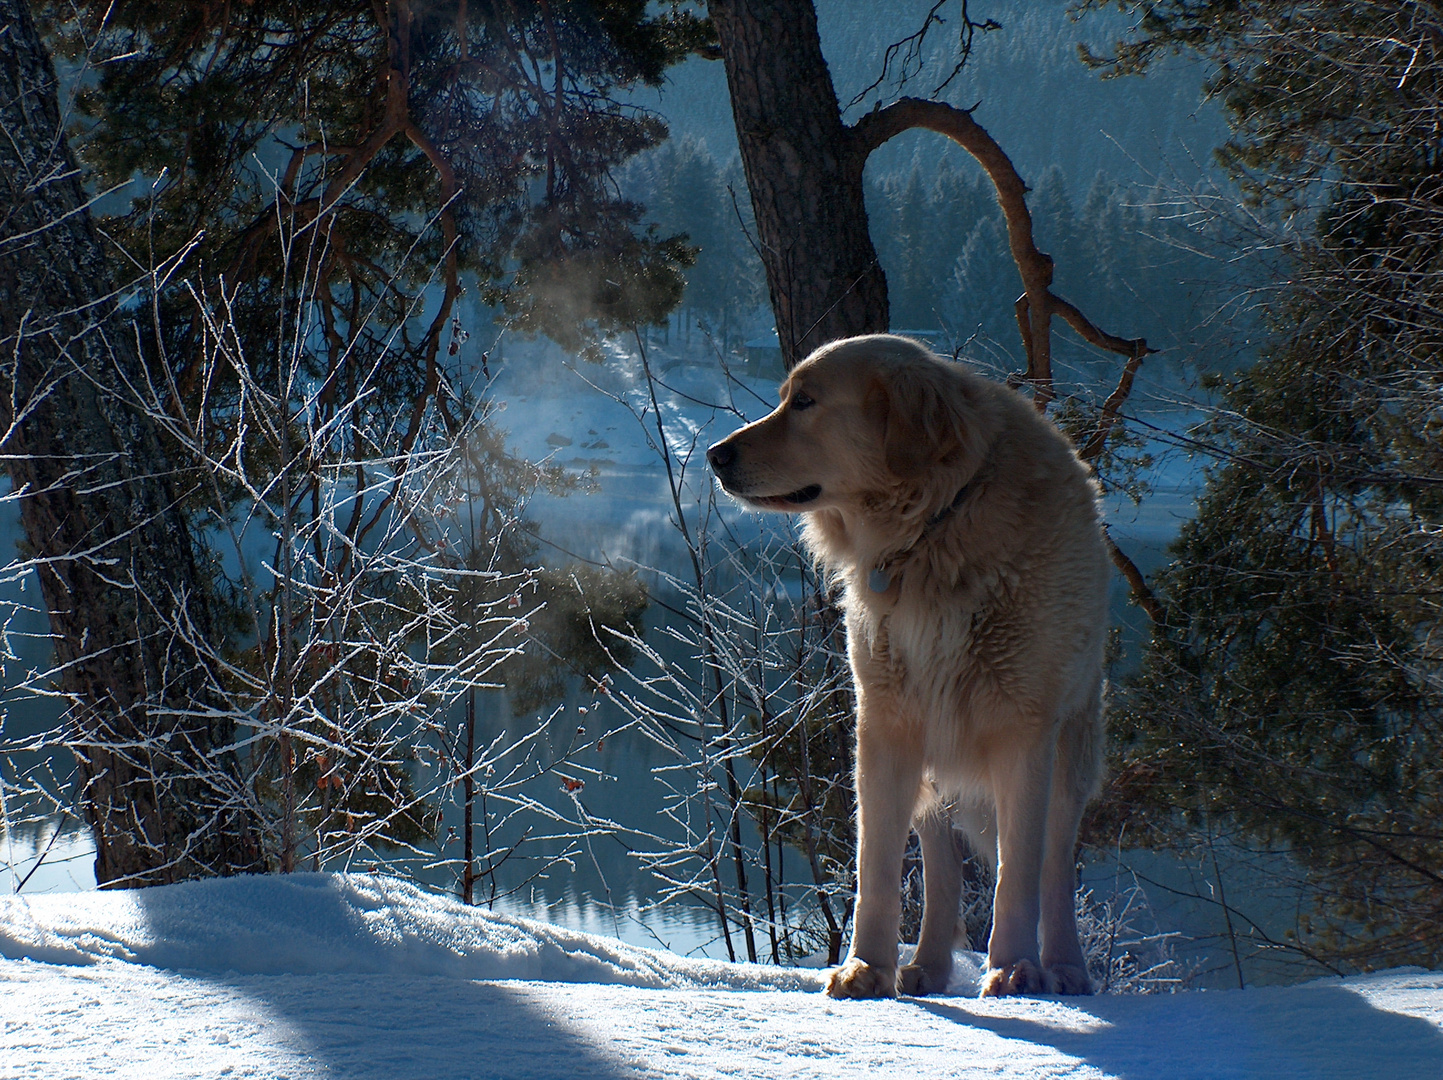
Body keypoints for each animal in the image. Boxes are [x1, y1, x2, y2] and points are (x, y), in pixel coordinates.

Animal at [707, 334, 1102, 993]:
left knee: (1052, 867)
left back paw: (1064, 967)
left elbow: (1019, 869)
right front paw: (866, 967)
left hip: (1071, 752)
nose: (715, 454)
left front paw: (1014, 967)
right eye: (787, 397)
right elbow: (876, 865)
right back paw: (928, 966)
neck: (937, 525)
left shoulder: (1025, 730)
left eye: (805, 402)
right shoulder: (886, 726)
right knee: (941, 868)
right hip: (932, 764)